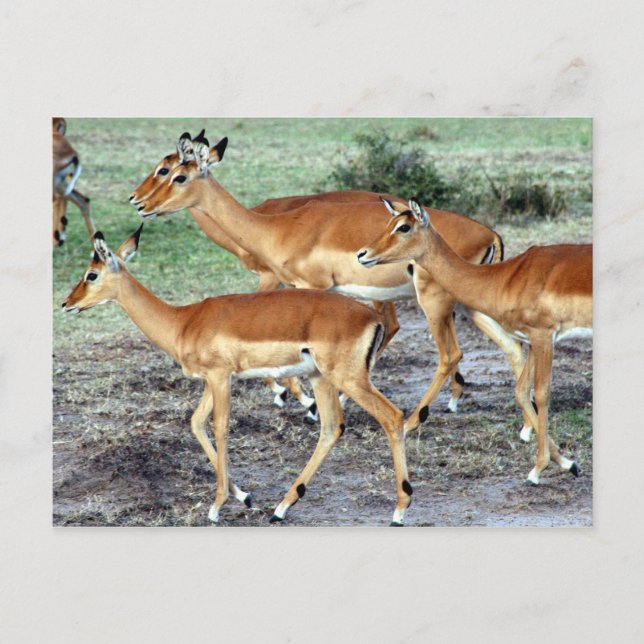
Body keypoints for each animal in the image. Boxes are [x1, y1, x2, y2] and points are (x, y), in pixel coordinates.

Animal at [61, 227, 411, 525]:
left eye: (91, 274)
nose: (66, 303)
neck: (183, 322)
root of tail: (372, 318)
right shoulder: (211, 379)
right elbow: (196, 423)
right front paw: (243, 496)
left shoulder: (220, 376)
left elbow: (220, 427)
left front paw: (216, 508)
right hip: (320, 378)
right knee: (331, 428)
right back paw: (281, 509)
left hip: (348, 379)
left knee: (392, 417)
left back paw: (398, 512)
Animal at [135, 134, 530, 435]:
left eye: (176, 174)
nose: (139, 203)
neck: (277, 227)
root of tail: (490, 234)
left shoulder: (306, 288)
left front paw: (305, 402)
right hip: (468, 305)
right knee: (512, 347)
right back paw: (526, 427)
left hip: (433, 302)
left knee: (450, 355)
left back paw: (413, 419)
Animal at [358, 199, 592, 484]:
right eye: (389, 222)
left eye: (404, 226)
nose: (363, 254)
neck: (505, 278)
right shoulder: (533, 339)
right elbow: (521, 391)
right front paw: (568, 463)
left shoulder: (543, 336)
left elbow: (542, 393)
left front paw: (537, 469)